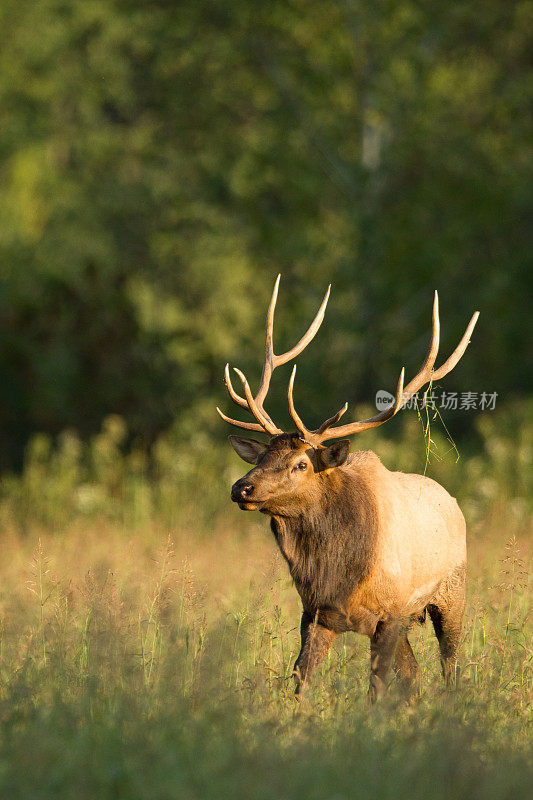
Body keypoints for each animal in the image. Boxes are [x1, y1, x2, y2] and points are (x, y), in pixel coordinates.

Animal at [216, 276, 478, 700]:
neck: (341, 575)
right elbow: (300, 679)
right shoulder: (315, 612)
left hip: (453, 592)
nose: (241, 488)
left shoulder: (391, 613)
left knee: (449, 664)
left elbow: (376, 687)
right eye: (261, 457)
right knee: (415, 673)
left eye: (301, 463)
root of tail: (452, 499)